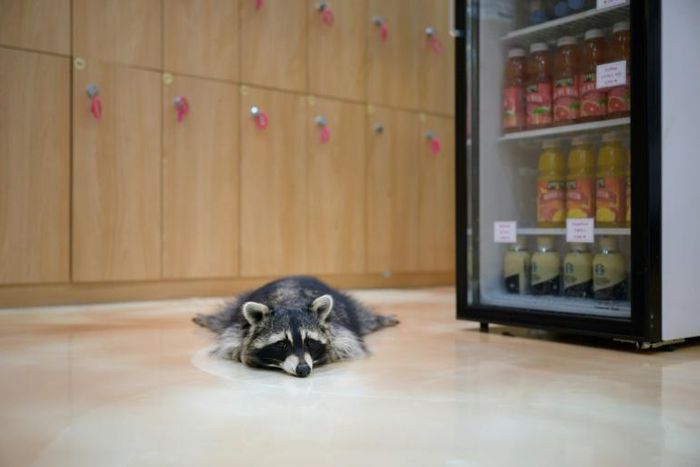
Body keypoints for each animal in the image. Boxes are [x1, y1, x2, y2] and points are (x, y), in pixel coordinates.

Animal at [193, 276, 399, 377]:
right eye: (282, 344)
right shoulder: (237, 329)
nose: (303, 369)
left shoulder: (340, 329)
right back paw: (210, 319)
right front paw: (245, 355)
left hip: (346, 304)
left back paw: (381, 319)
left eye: (309, 342)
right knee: (223, 317)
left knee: (365, 318)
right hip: (239, 304)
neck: (290, 302)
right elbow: (231, 345)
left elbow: (346, 346)